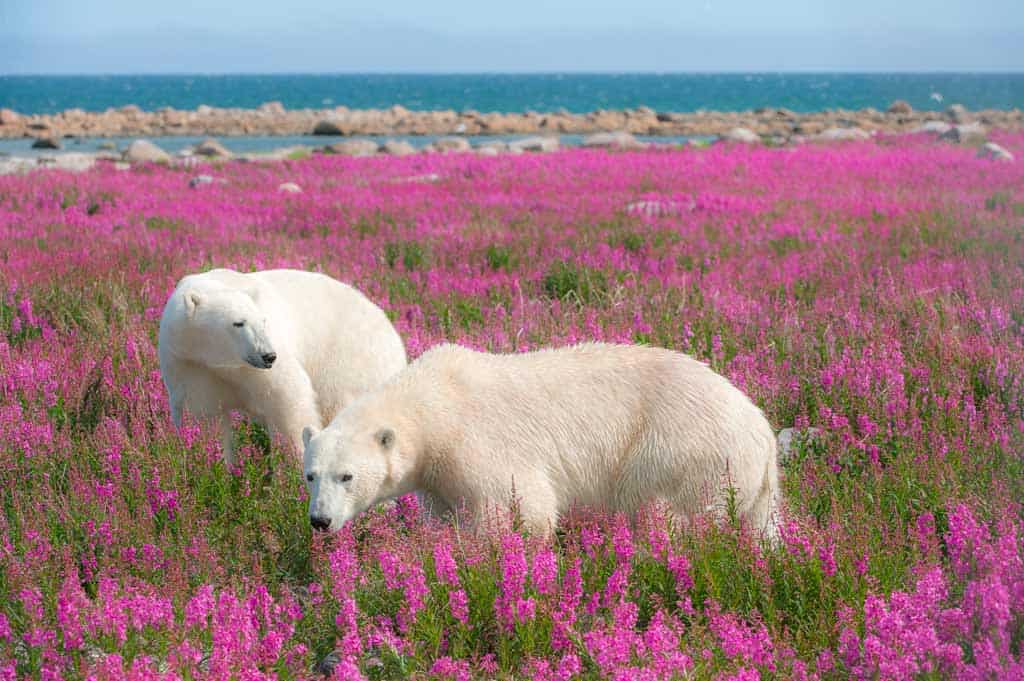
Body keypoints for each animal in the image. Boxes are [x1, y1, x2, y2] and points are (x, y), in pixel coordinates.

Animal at [158, 268, 407, 466]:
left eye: (263, 320)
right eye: (238, 323)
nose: (268, 356)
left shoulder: (259, 365)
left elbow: (286, 400)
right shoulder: (190, 364)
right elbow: (206, 418)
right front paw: (212, 466)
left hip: (350, 361)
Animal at [301, 342, 780, 542]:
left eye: (347, 476)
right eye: (310, 475)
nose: (319, 521)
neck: (435, 405)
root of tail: (762, 430)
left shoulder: (477, 445)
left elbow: (522, 510)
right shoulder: (437, 476)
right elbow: (445, 514)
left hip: (680, 449)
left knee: (669, 514)